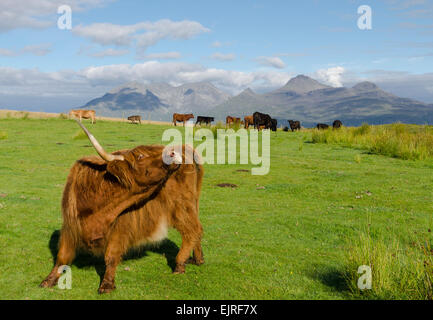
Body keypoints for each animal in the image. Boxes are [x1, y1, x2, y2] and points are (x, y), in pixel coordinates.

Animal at [39, 120, 203, 296]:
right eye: (140, 156)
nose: (172, 153)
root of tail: (186, 148)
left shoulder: (120, 226)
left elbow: (111, 255)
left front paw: (107, 284)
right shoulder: (70, 226)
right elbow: (62, 256)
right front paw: (48, 280)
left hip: (181, 205)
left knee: (192, 231)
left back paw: (180, 264)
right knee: (197, 229)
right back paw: (198, 259)